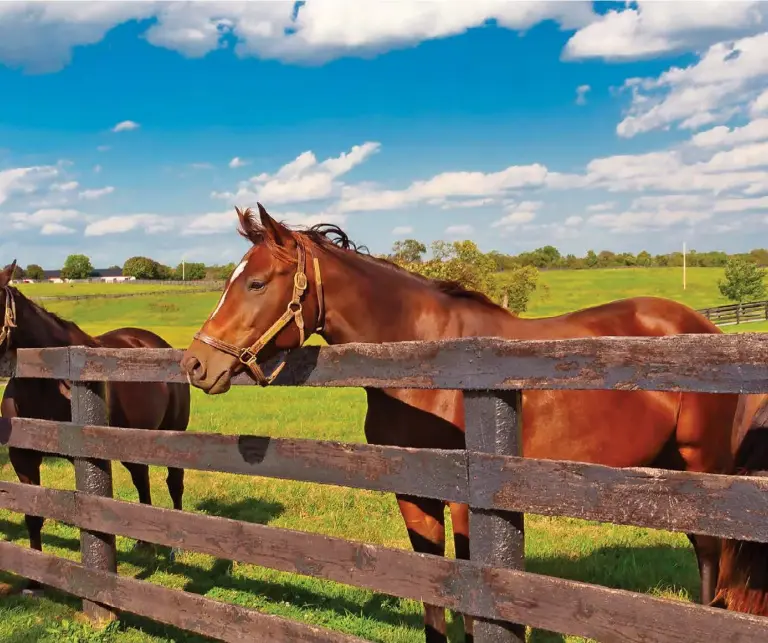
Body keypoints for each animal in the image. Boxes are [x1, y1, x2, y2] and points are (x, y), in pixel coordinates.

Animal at [0, 262, 190, 592]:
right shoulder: (22, 457)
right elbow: (33, 514)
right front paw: (33, 580)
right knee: (142, 479)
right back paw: (145, 544)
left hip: (174, 434)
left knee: (174, 483)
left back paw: (173, 548)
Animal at [183, 208, 740, 643]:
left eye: (256, 283)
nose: (195, 364)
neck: (425, 365)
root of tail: (702, 325)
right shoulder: (414, 494)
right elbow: (430, 585)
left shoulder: (468, 501)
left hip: (704, 465)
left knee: (714, 552)